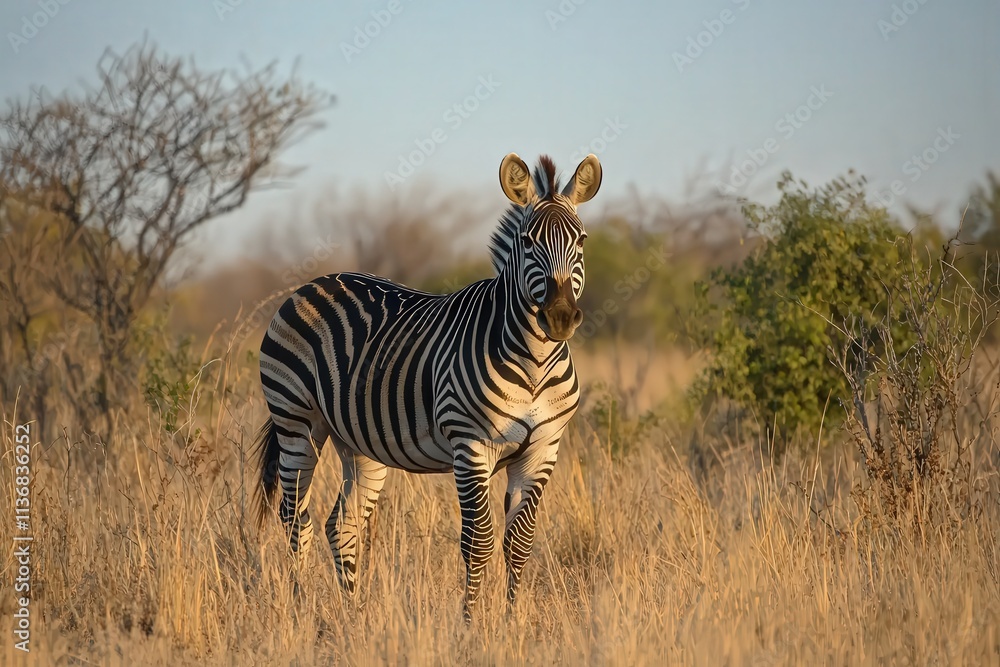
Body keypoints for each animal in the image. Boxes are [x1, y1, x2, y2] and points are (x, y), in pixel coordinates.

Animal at [253, 152, 602, 617]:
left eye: (581, 241)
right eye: (528, 241)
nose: (560, 317)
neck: (535, 363)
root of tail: (316, 281)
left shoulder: (543, 450)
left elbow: (520, 543)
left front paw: (513, 620)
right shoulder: (470, 445)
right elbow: (479, 542)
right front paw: (471, 622)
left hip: (359, 442)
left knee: (340, 524)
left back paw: (352, 614)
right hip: (296, 420)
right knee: (295, 517)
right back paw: (300, 608)